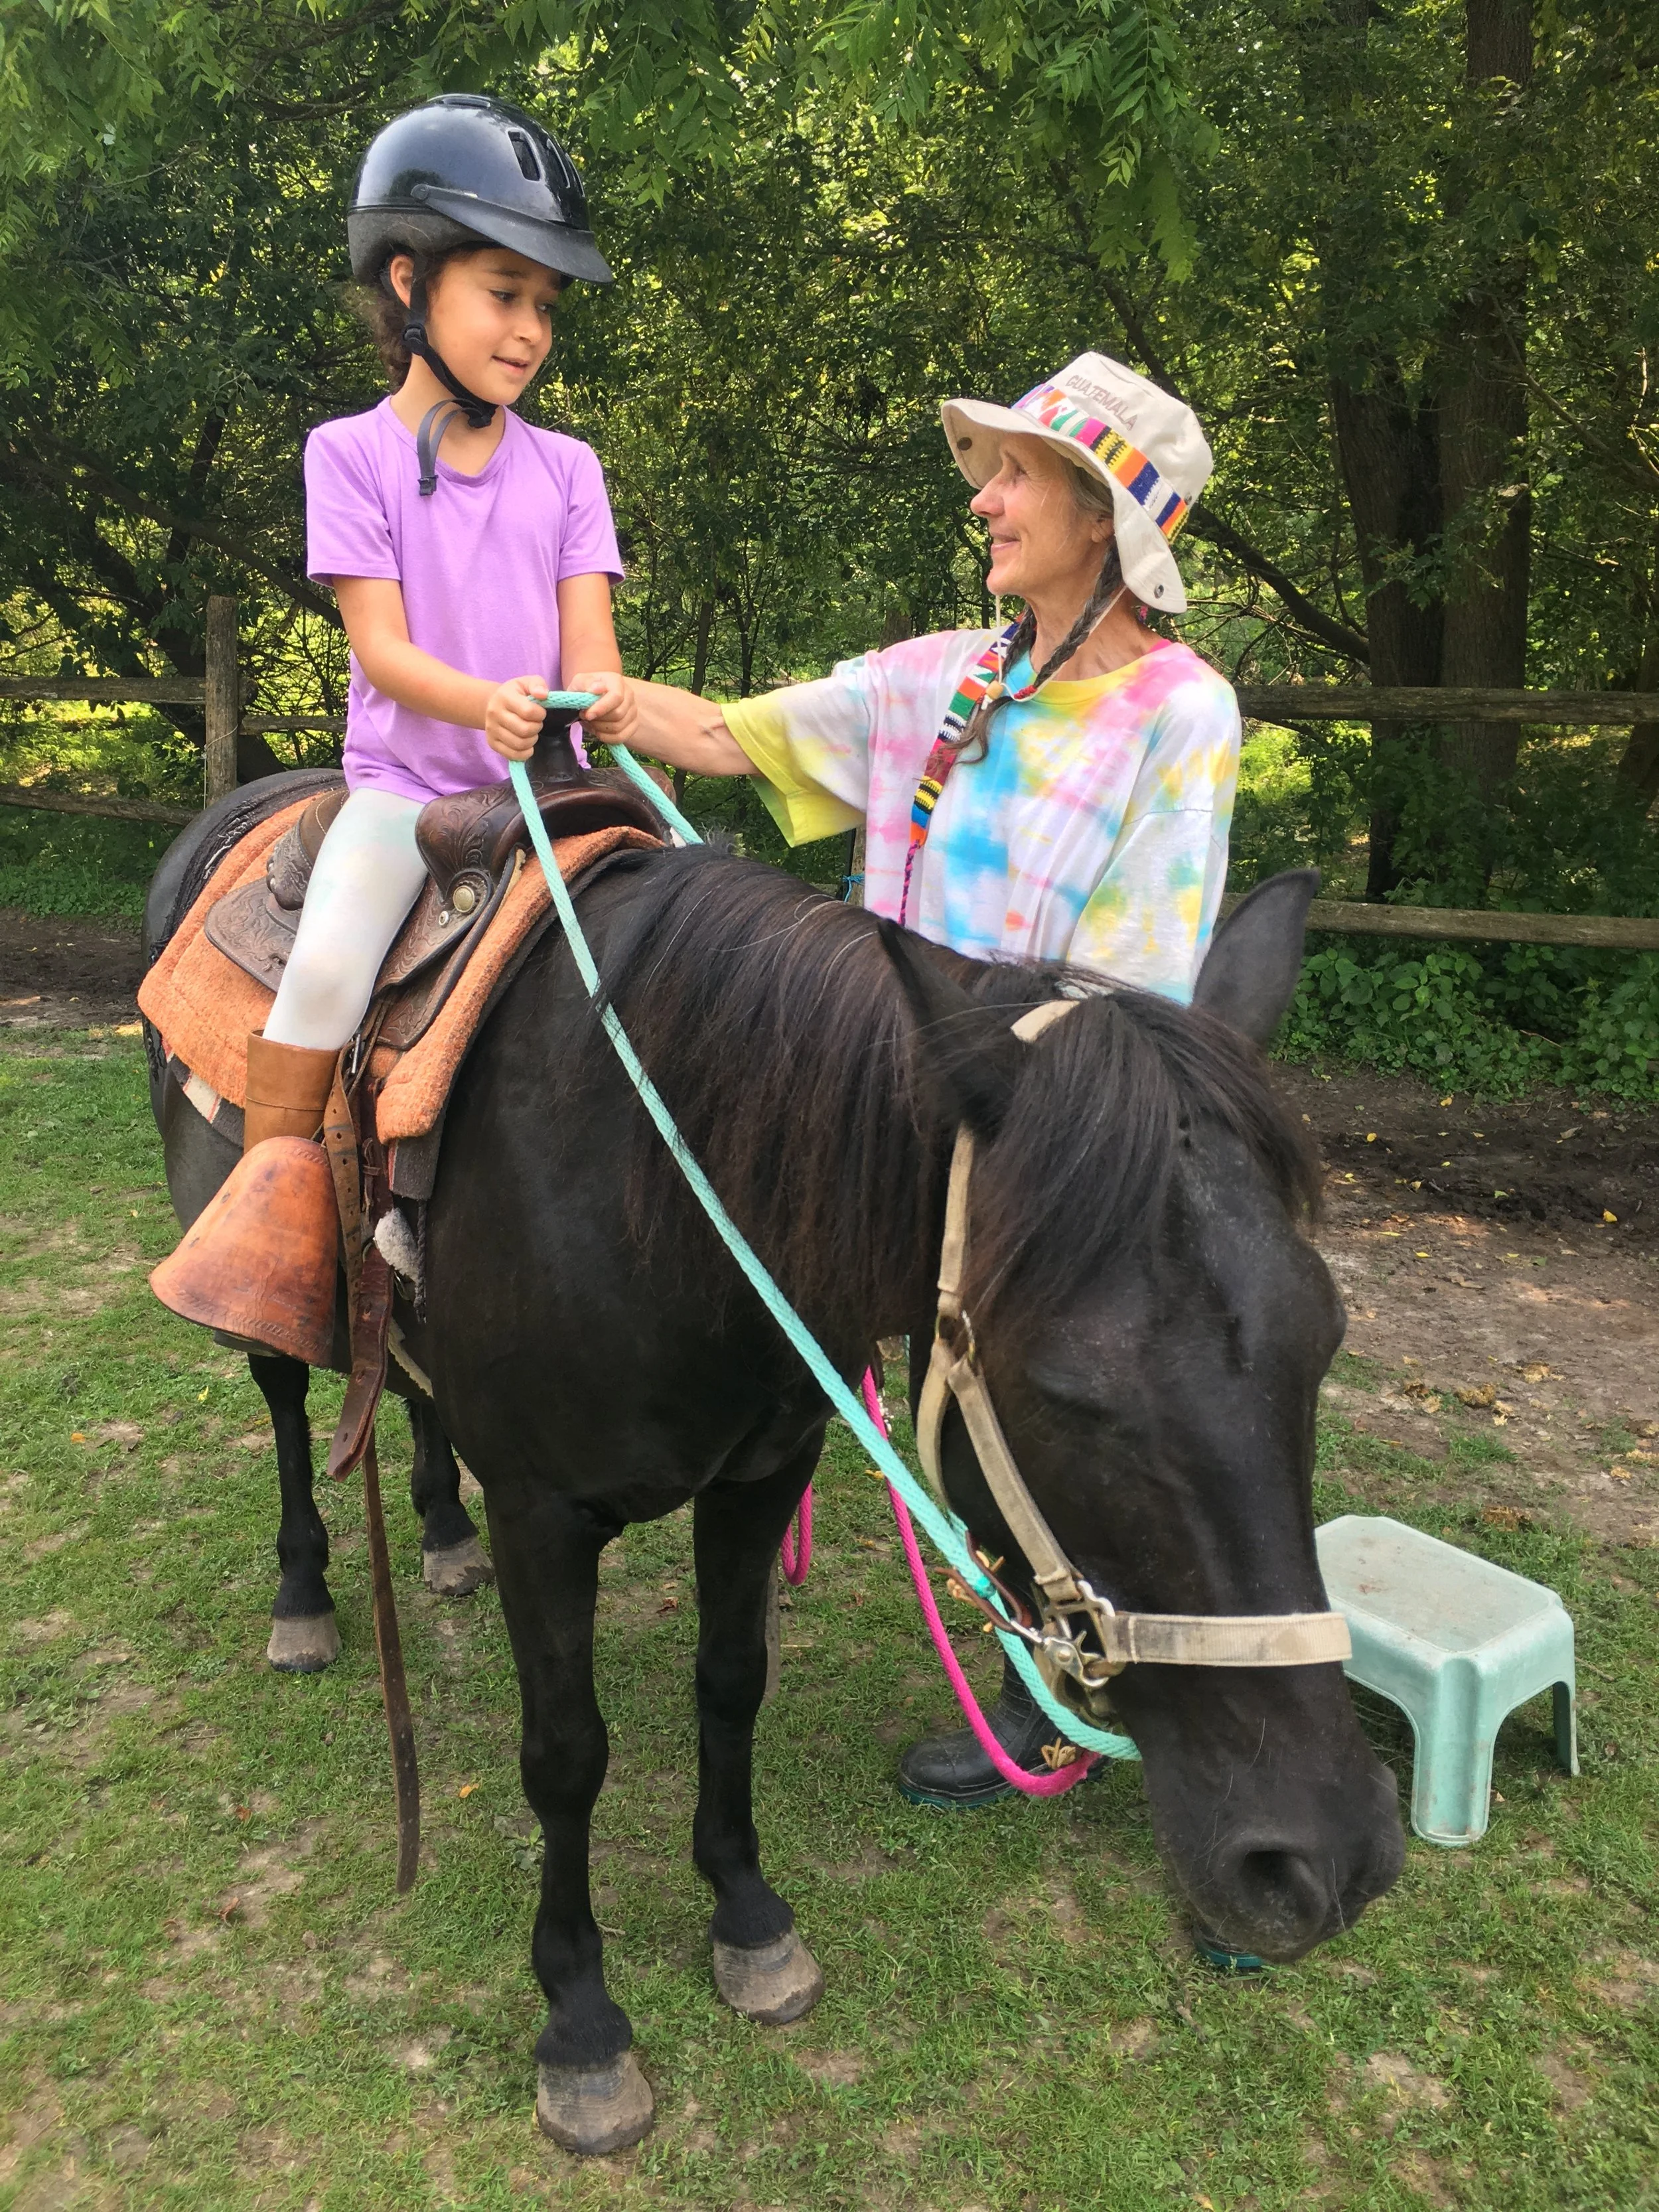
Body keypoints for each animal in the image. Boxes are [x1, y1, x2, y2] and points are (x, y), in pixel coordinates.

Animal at [148, 797, 1406, 2155]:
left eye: (1325, 1336)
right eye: (1073, 1385)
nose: (1326, 1856)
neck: (653, 1183)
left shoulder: (759, 1476)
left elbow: (732, 1685)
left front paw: (748, 1918)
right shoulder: (545, 1515)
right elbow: (565, 1755)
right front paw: (581, 2018)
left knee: (413, 1392)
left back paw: (437, 1532)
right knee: (286, 1403)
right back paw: (303, 1601)